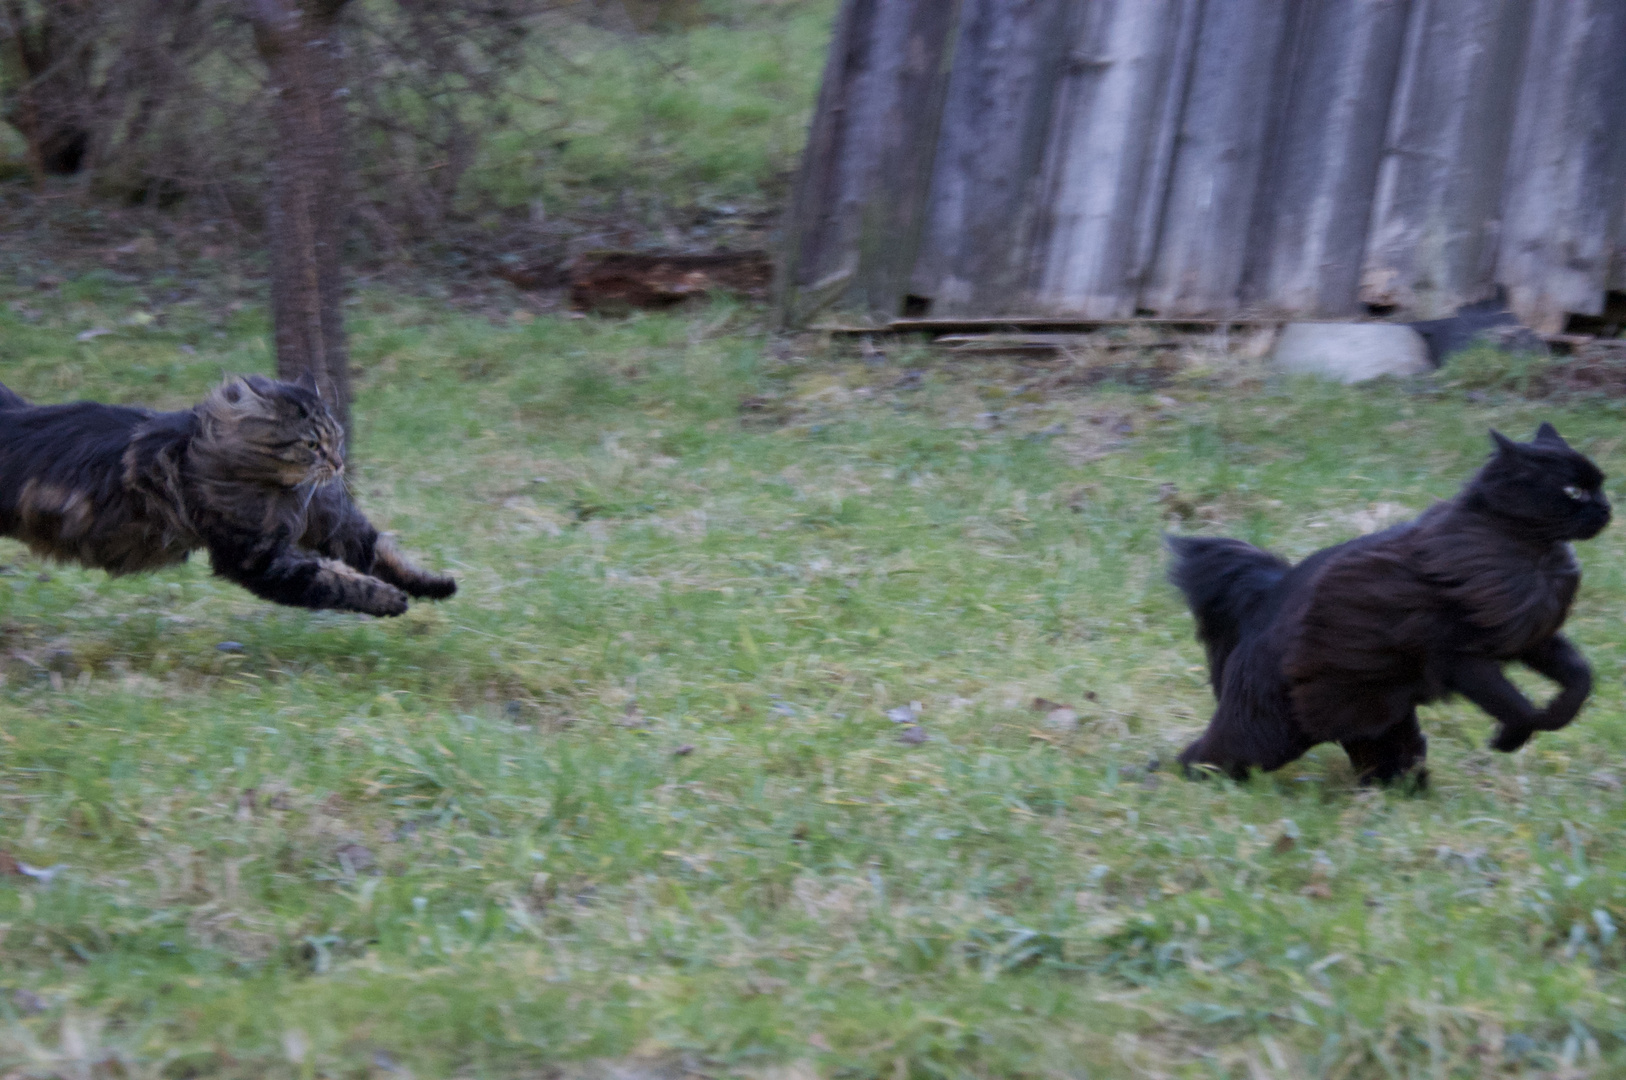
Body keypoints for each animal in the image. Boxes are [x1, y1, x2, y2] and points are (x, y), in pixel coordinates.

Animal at [0, 374, 455, 614]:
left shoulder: (333, 526)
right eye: (312, 444)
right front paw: (389, 600)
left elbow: (382, 554)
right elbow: (336, 582)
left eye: (336, 437)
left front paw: (436, 586)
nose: (339, 463)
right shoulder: (256, 559)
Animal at [1164, 422, 1606, 783]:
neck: (1533, 556)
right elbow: (1517, 706)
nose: (1606, 508)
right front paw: (1512, 737)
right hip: (1267, 732)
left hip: (1382, 719)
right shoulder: (1460, 656)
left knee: (1385, 762)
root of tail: (1265, 596)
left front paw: (1554, 715)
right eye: (1573, 491)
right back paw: (1164, 779)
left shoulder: (1531, 635)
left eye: (1600, 485)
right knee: (1202, 756)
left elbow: (1580, 678)